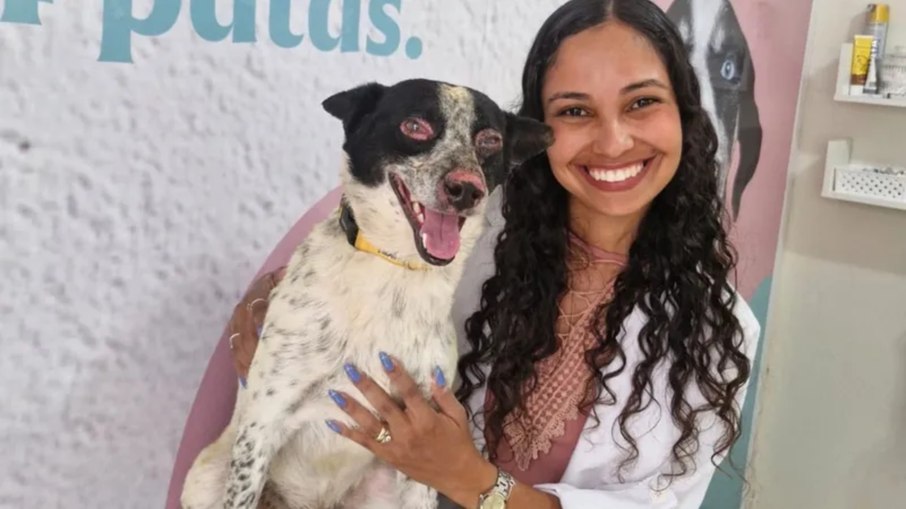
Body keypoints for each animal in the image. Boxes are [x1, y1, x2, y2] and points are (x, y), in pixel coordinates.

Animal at [179, 78, 552, 508]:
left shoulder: (426, 444)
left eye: (490, 140)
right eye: (414, 126)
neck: (395, 269)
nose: (466, 189)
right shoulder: (263, 422)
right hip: (207, 474)